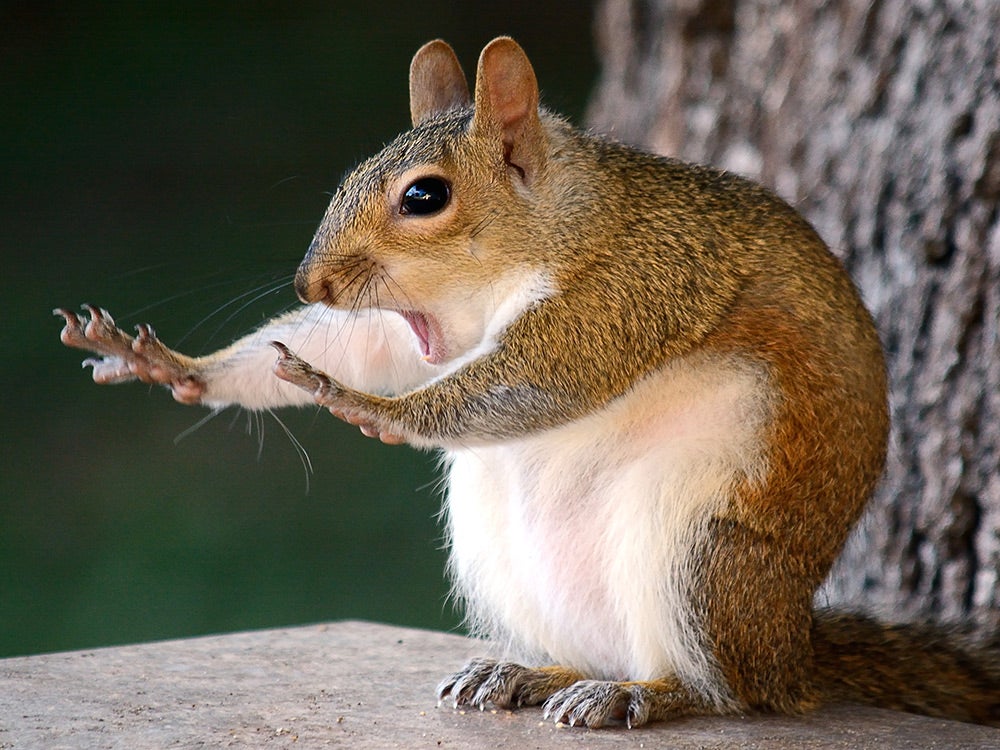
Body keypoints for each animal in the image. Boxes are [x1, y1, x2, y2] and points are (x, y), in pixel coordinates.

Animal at [56, 38, 1000, 732]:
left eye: (424, 197)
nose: (309, 283)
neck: (554, 228)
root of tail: (792, 650)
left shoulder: (634, 287)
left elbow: (539, 379)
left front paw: (370, 407)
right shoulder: (413, 328)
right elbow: (363, 347)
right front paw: (176, 366)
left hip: (703, 556)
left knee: (726, 691)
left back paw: (643, 693)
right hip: (505, 556)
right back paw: (527, 674)